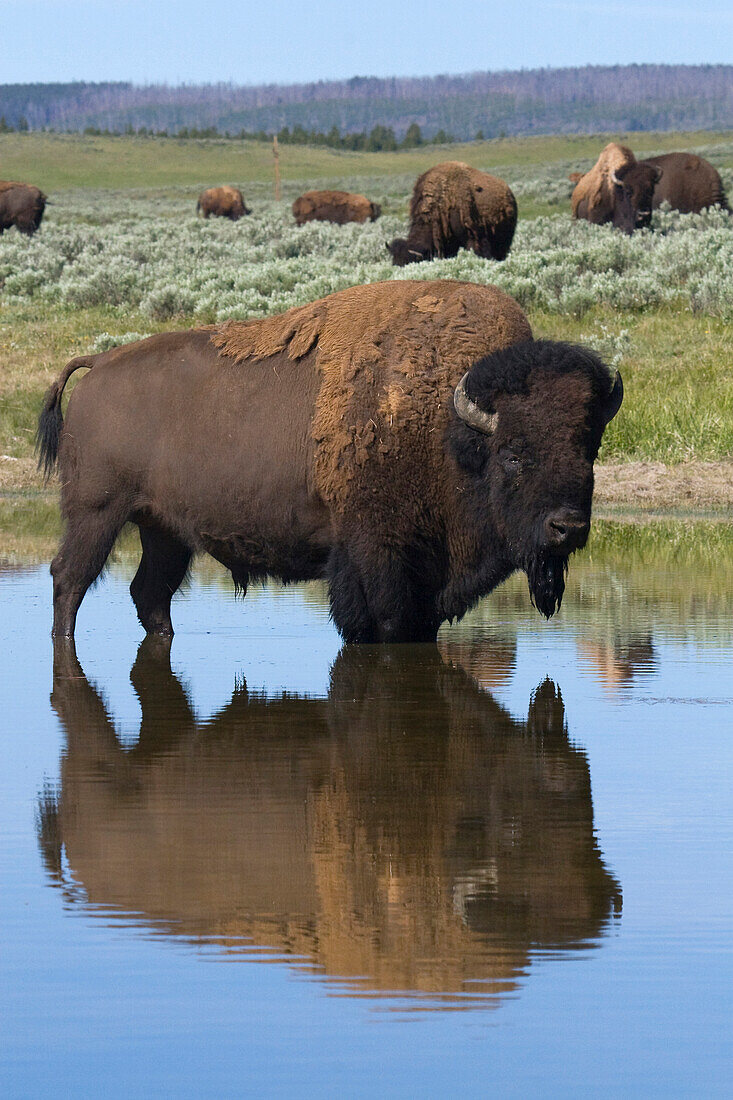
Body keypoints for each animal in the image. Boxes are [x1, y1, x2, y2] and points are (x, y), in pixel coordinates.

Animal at [34, 279, 620, 642]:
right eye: (514, 455)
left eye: (587, 452)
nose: (567, 527)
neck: (448, 429)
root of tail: (98, 364)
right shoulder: (376, 560)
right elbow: (381, 625)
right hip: (97, 513)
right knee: (69, 578)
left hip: (163, 529)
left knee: (149, 593)